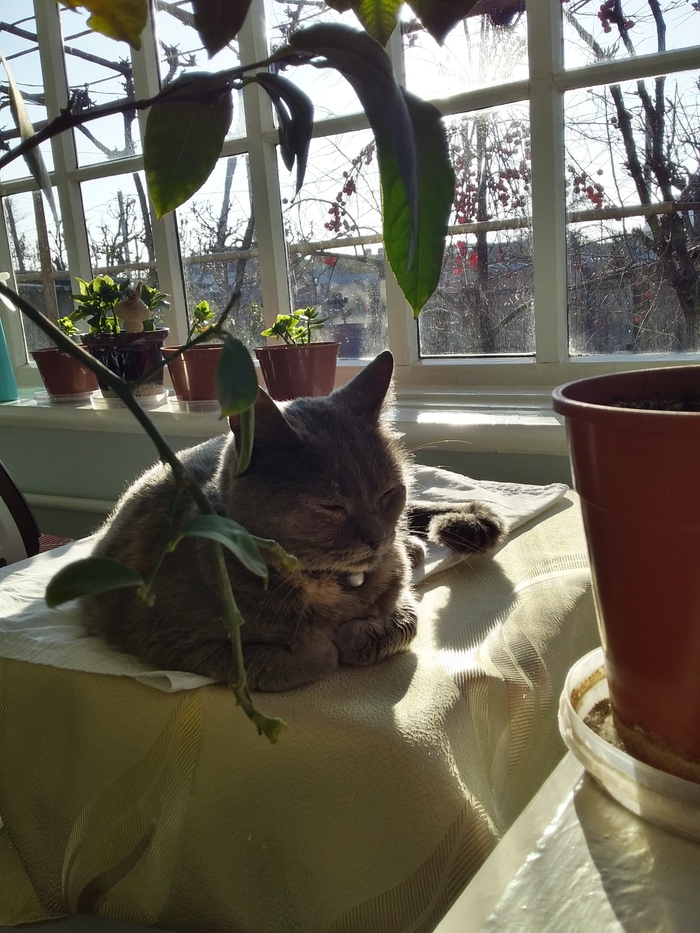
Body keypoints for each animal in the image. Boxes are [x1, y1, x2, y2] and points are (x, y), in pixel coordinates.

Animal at [81, 351, 504, 692]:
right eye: (331, 506)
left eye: (388, 494)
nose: (377, 537)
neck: (333, 585)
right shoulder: (167, 639)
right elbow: (296, 659)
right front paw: (320, 644)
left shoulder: (400, 589)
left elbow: (407, 619)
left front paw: (355, 635)